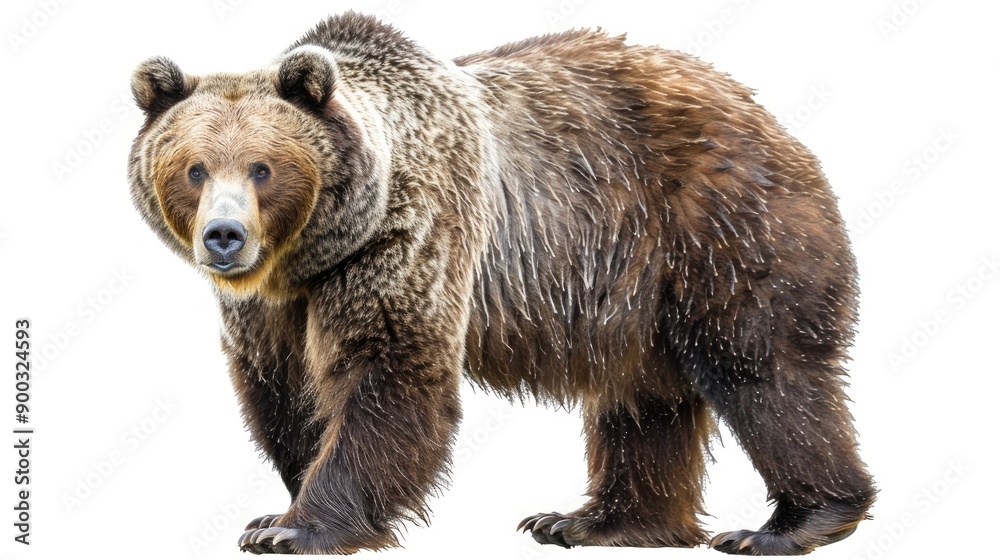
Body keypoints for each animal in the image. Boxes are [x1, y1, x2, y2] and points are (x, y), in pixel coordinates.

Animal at [128, 12, 875, 556]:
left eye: (263, 167)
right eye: (194, 168)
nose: (225, 237)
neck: (315, 252)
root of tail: (757, 109)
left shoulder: (414, 234)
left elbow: (390, 371)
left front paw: (299, 528)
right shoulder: (273, 304)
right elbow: (283, 390)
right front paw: (277, 509)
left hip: (715, 227)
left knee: (764, 370)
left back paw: (790, 523)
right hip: (631, 289)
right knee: (641, 398)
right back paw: (595, 521)